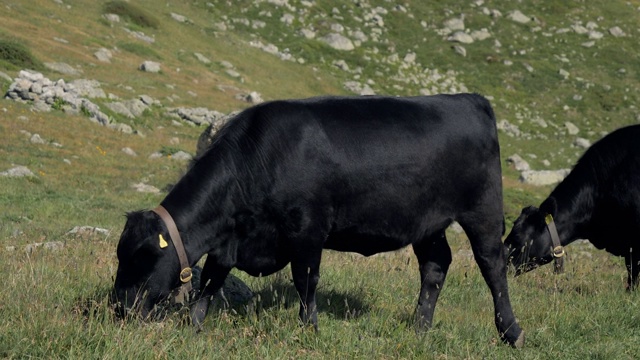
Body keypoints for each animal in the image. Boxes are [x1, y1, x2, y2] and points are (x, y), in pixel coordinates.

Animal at [114, 94, 524, 348]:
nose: (119, 308)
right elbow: (211, 282)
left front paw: (309, 328)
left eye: (143, 258)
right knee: (436, 266)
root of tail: (468, 99)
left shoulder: (307, 230)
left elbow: (305, 281)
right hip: (428, 223)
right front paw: (195, 325)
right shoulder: (229, 240)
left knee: (493, 265)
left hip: (483, 209)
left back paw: (511, 331)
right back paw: (420, 327)